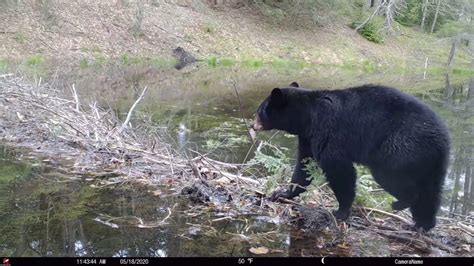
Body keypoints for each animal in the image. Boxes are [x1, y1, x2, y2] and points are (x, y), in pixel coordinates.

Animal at [252, 82, 448, 231]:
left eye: (260, 111)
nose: (253, 125)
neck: (307, 116)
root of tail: (441, 138)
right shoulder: (308, 137)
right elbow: (304, 165)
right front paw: (282, 192)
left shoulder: (327, 130)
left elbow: (338, 168)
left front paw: (341, 212)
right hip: (432, 163)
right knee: (431, 191)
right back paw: (425, 223)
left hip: (399, 148)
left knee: (395, 179)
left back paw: (402, 203)